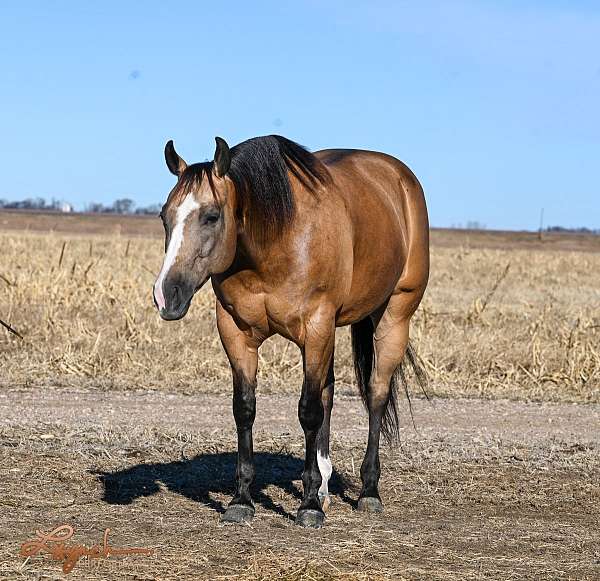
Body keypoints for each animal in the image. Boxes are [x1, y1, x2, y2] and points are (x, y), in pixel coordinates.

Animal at [152, 134, 428, 528]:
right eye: (165, 216)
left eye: (211, 216)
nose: (166, 294)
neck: (274, 242)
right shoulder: (236, 332)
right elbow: (245, 408)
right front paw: (242, 499)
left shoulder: (315, 329)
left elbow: (309, 411)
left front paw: (309, 505)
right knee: (329, 392)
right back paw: (326, 487)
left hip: (394, 316)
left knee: (375, 394)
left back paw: (368, 491)